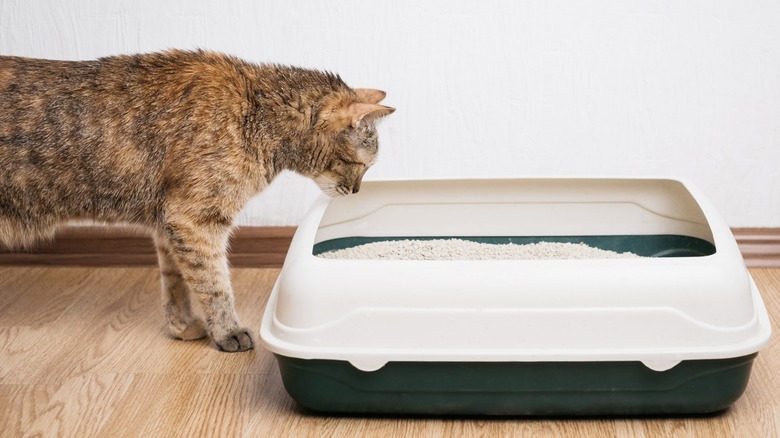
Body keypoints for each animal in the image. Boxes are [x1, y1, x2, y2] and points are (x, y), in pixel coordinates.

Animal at [1, 50, 396, 352]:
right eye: (360, 165)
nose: (356, 191)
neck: (255, 112)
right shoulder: (195, 219)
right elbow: (215, 283)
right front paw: (228, 332)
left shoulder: (168, 223)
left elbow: (176, 282)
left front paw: (184, 326)